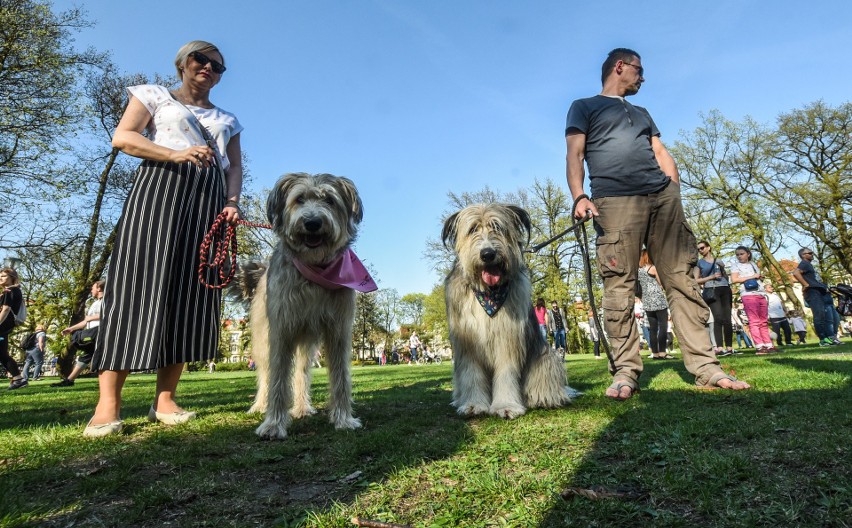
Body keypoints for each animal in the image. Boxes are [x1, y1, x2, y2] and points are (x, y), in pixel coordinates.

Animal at [235, 171, 364, 440]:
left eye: (329, 200)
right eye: (299, 199)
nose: (313, 222)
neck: (314, 271)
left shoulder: (338, 329)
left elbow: (340, 375)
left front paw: (344, 419)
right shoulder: (281, 330)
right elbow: (277, 378)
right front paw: (273, 424)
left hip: (306, 341)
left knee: (301, 373)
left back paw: (302, 407)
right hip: (263, 338)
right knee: (265, 374)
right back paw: (260, 405)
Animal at [442, 204, 576, 418]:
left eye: (498, 227)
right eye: (473, 229)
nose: (488, 254)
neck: (489, 293)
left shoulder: (507, 340)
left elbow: (506, 374)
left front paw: (506, 406)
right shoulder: (467, 344)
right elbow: (472, 374)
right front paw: (473, 404)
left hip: (547, 358)